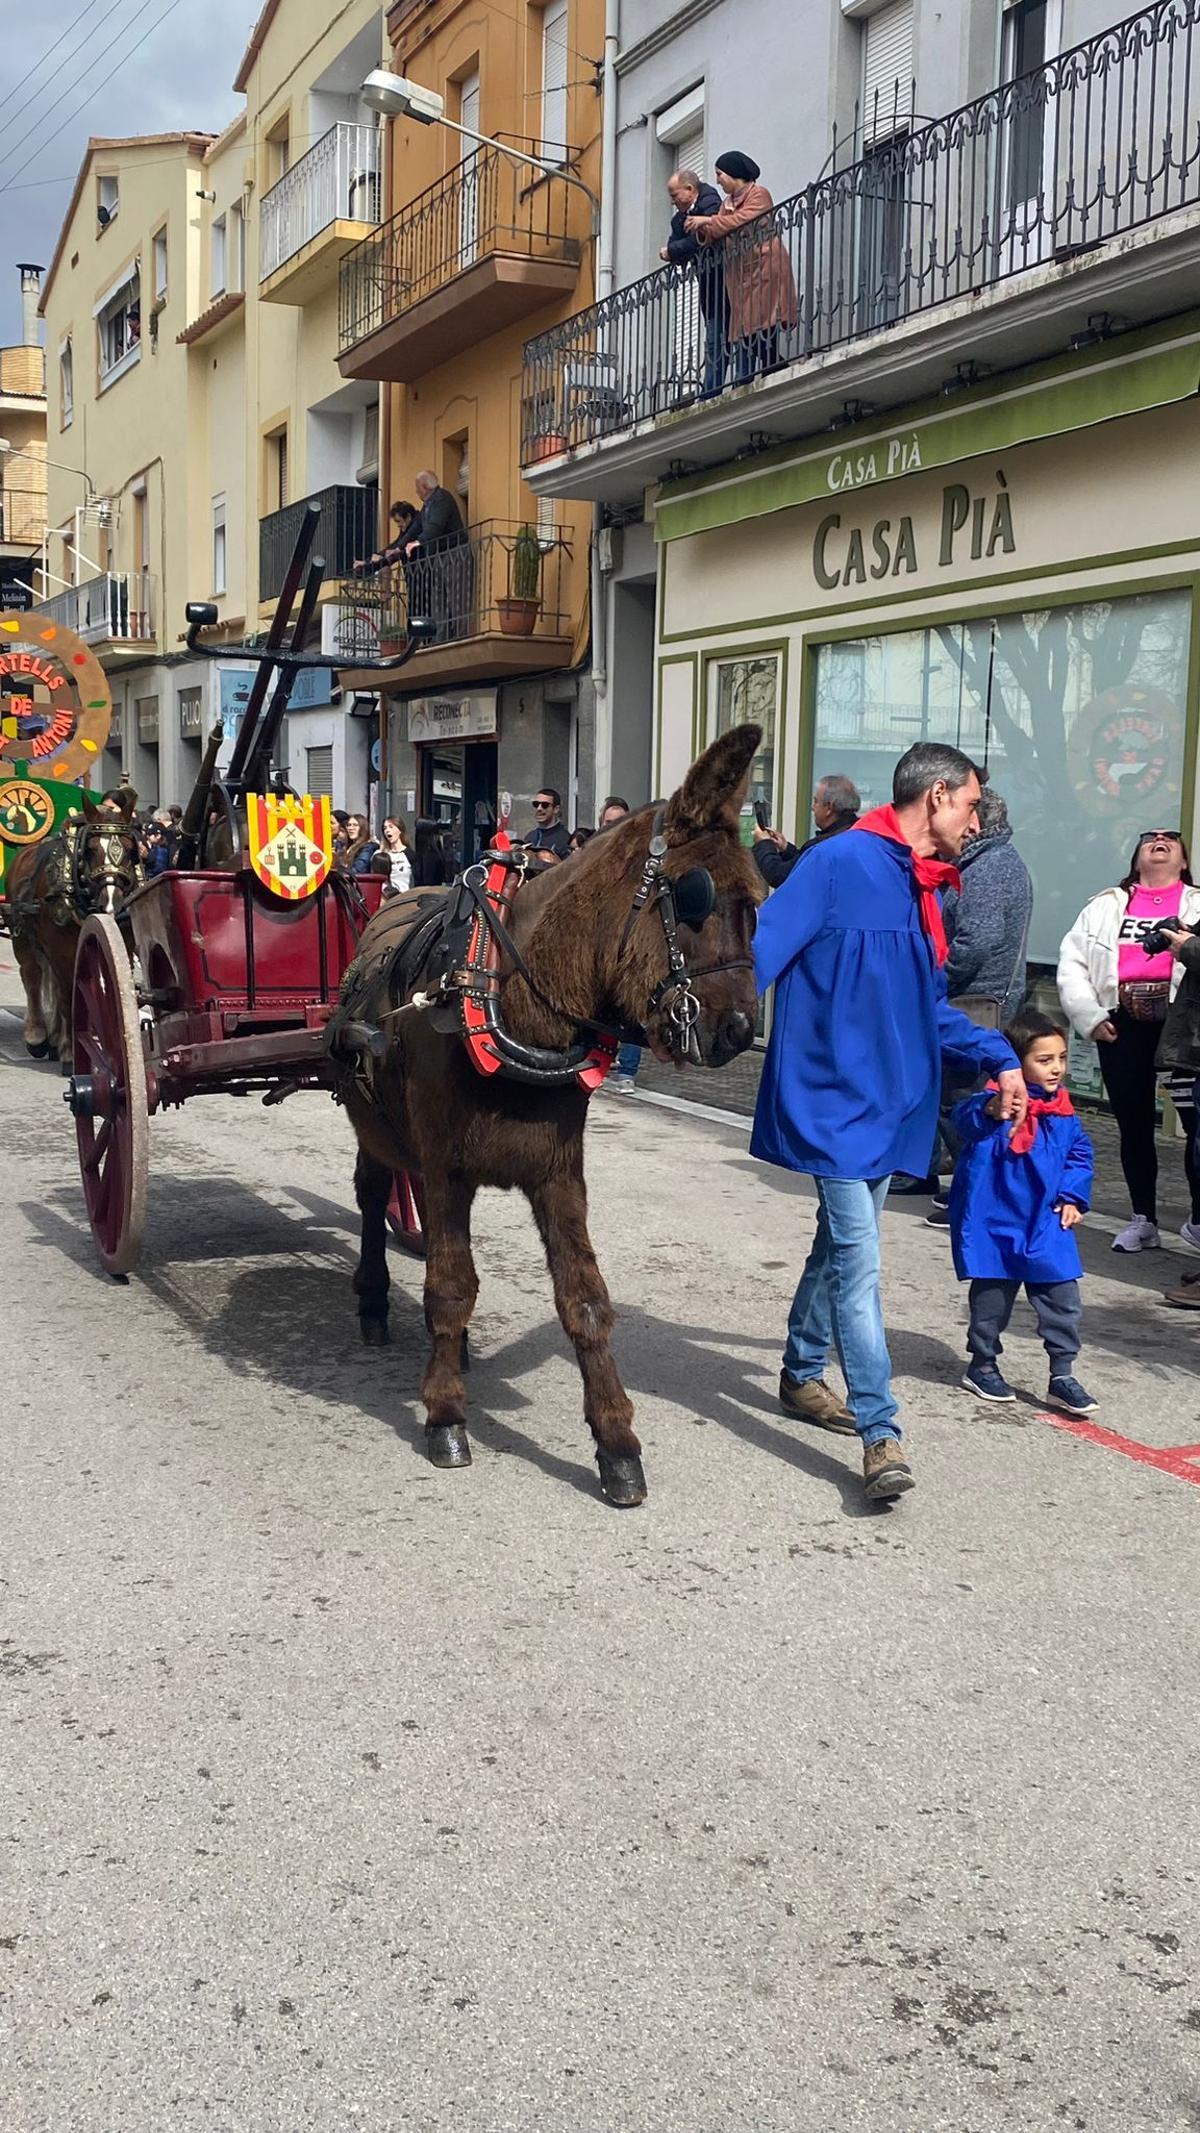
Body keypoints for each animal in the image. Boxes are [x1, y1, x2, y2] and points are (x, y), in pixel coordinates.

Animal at [6, 789, 141, 1062]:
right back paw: (37, 1035)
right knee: (32, 975)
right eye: (90, 849)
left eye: (130, 848)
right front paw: (70, 1050)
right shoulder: (59, 949)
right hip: (22, 934)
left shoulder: (121, 943)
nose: (111, 903)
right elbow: (69, 994)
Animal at [330, 725, 758, 1510]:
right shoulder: (445, 1169)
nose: (742, 1031)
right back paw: (374, 1300)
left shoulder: (559, 1174)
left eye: (758, 901)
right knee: (373, 1197)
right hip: (378, 1131)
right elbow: (450, 1288)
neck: (506, 997)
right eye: (693, 898)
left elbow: (584, 1300)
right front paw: (445, 1413)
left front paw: (616, 1441)